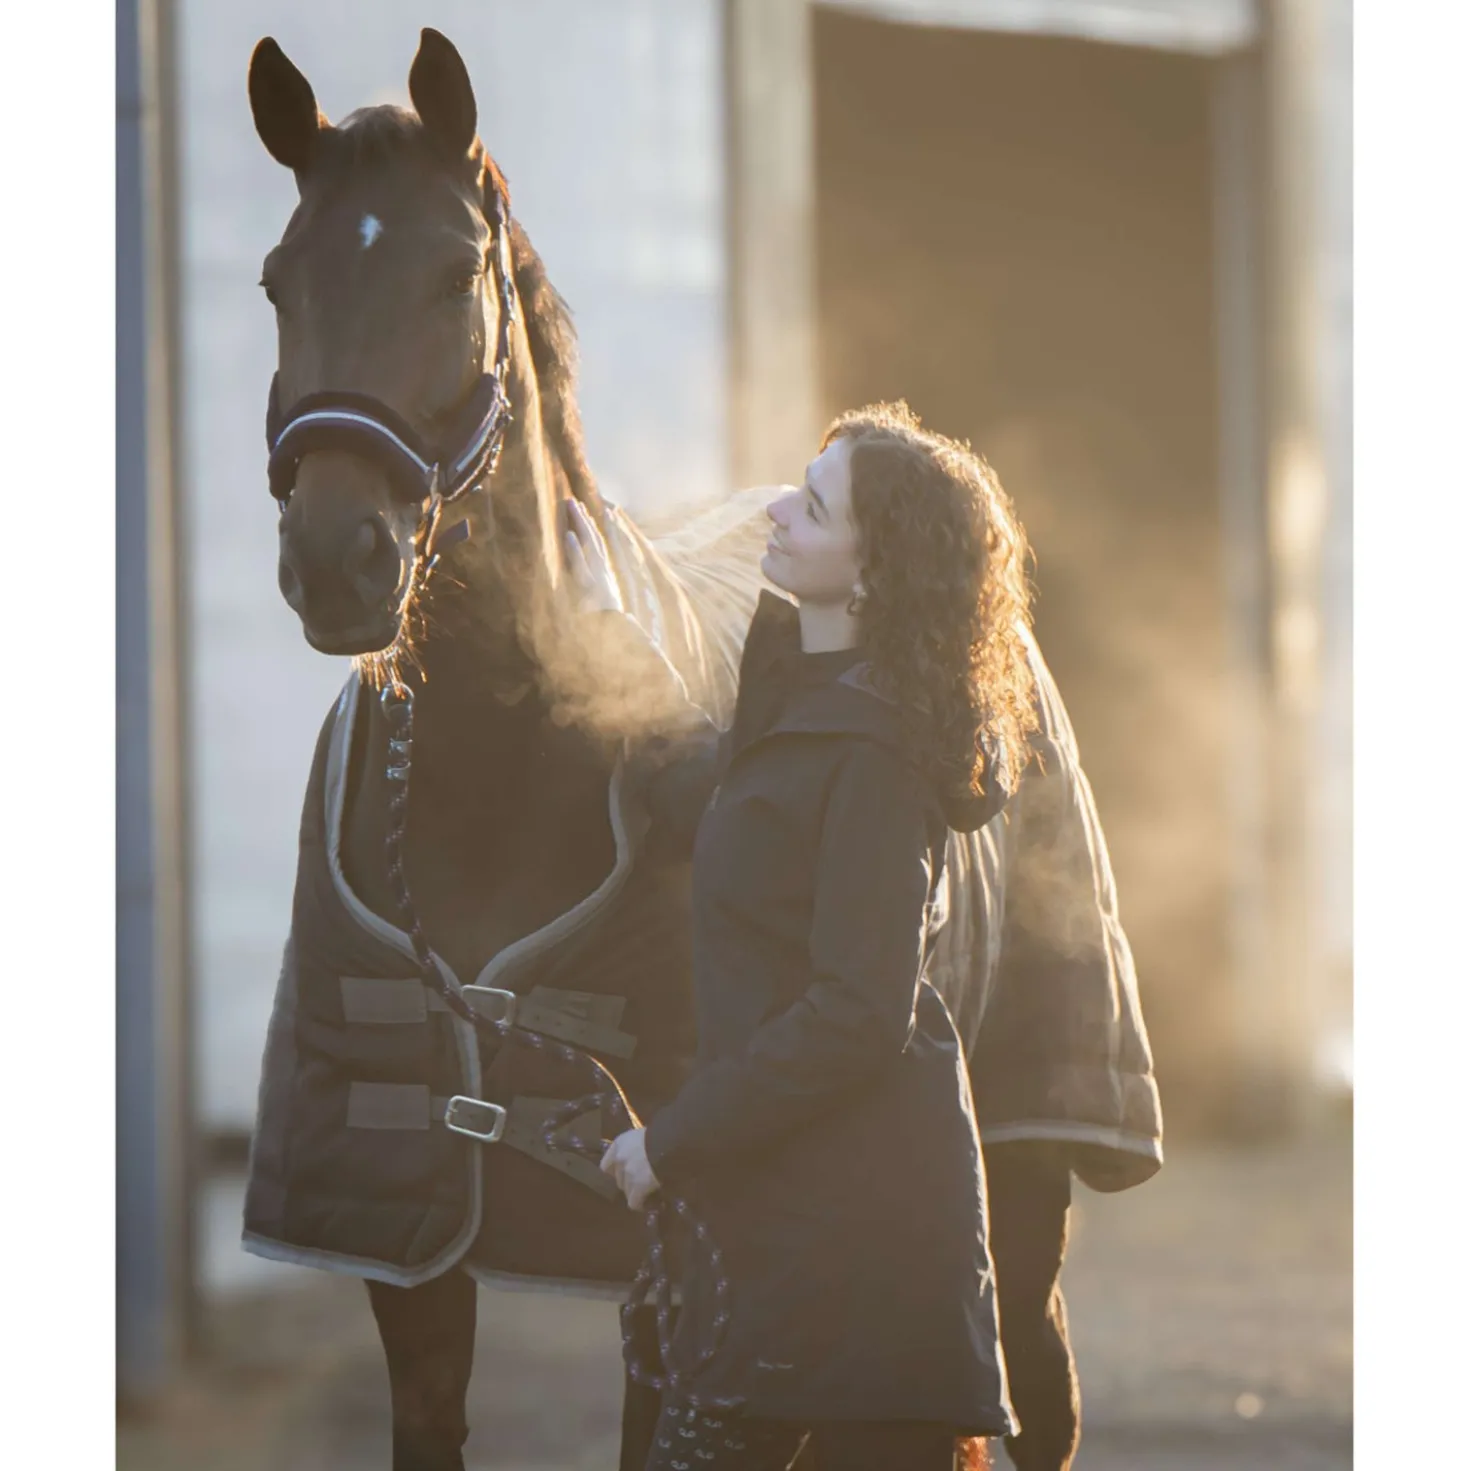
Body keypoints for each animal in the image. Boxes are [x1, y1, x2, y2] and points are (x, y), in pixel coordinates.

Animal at [240, 27, 1162, 1471]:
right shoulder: (410, 1250)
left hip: (1026, 1169)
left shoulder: (657, 1240)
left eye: (456, 273)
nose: (339, 561)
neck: (495, 775)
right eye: (281, 280)